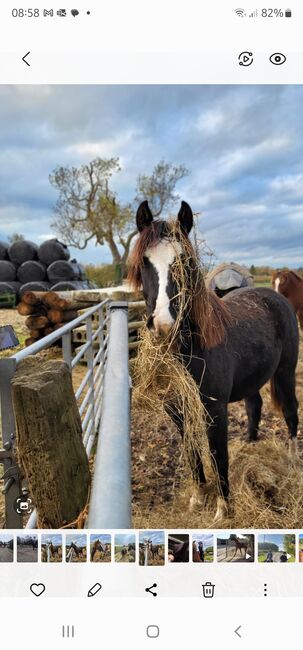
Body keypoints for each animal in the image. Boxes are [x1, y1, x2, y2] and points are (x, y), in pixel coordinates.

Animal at [127, 200, 300, 520]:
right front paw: (197, 498)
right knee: (255, 406)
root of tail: (276, 297)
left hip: (285, 372)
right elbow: (192, 450)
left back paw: (293, 460)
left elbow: (218, 455)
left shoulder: (214, 409)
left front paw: (222, 509)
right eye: (144, 261)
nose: (164, 326)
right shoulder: (178, 410)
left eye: (184, 261)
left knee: (291, 412)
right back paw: (250, 445)